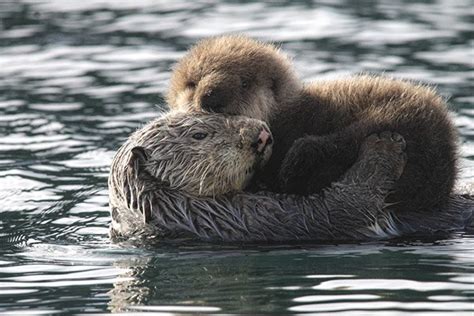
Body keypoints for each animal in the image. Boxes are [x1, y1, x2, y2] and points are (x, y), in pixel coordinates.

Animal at [108, 110, 470, 242]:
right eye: (199, 134)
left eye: (217, 110)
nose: (262, 134)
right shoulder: (249, 218)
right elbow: (341, 206)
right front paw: (385, 144)